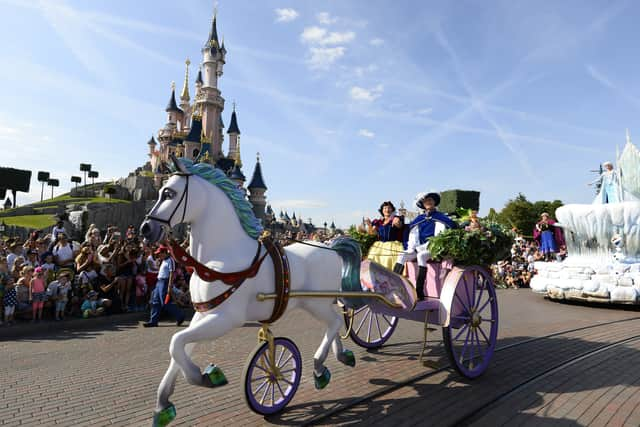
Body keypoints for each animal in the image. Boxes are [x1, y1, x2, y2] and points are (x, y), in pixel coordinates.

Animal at [140, 159, 358, 426]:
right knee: (334, 322)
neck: (219, 259)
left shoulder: (226, 318)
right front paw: (163, 405)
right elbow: (178, 348)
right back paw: (338, 358)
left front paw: (203, 376)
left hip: (315, 303)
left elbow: (176, 342)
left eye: (169, 193)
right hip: (318, 302)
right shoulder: (203, 314)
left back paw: (318, 366)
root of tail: (330, 246)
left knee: (335, 321)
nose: (146, 229)